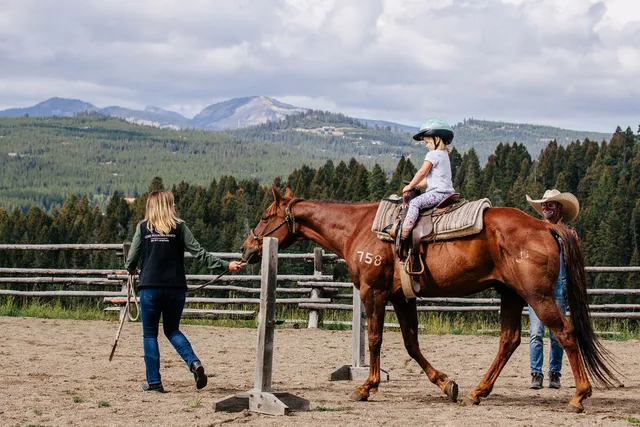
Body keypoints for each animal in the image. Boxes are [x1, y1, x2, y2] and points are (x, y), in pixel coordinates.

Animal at [240, 188, 616, 414]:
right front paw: (446, 383)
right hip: (510, 295)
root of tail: (546, 226)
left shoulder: (374, 293)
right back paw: (478, 392)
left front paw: (366, 386)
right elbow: (411, 343)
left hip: (537, 296)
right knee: (508, 340)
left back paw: (579, 396)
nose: (247, 248)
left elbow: (374, 338)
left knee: (565, 333)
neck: (358, 227)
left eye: (264, 216)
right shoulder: (401, 297)